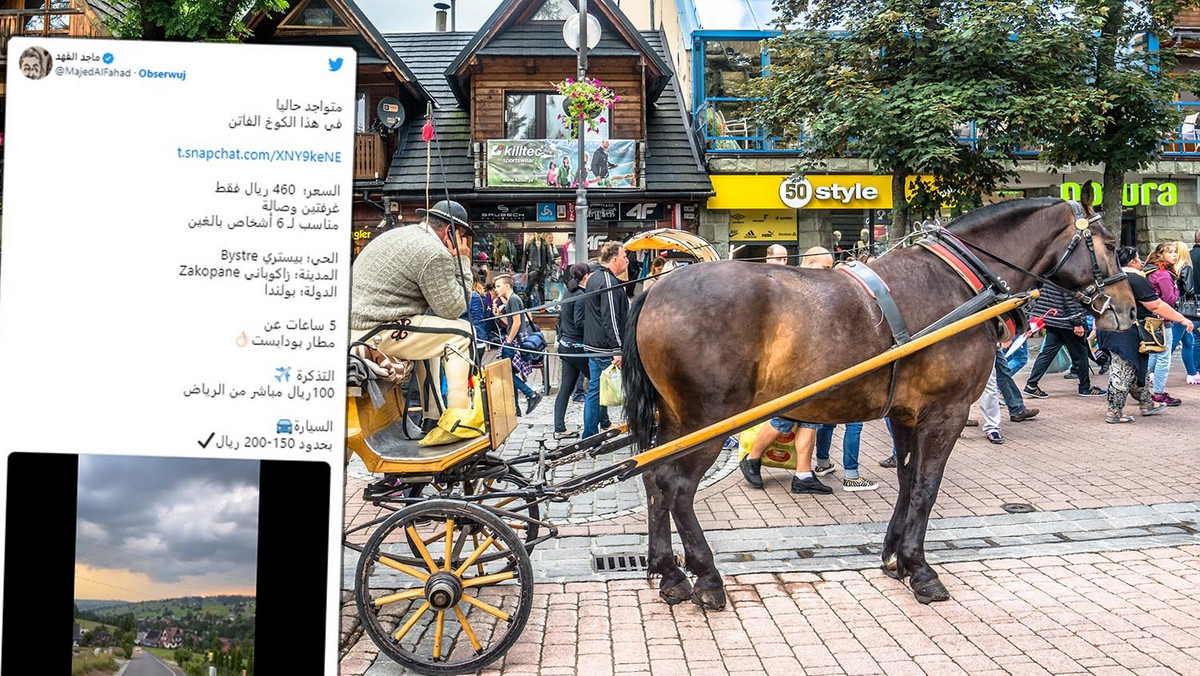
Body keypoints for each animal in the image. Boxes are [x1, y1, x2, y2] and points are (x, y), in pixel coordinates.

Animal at [624, 195, 1137, 607]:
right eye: (1111, 244)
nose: (1128, 309)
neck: (961, 282)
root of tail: (656, 289)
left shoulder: (908, 414)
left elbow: (909, 480)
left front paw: (896, 557)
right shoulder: (946, 412)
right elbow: (927, 487)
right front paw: (921, 569)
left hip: (674, 419)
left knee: (652, 481)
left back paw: (668, 573)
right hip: (708, 420)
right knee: (677, 488)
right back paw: (705, 576)